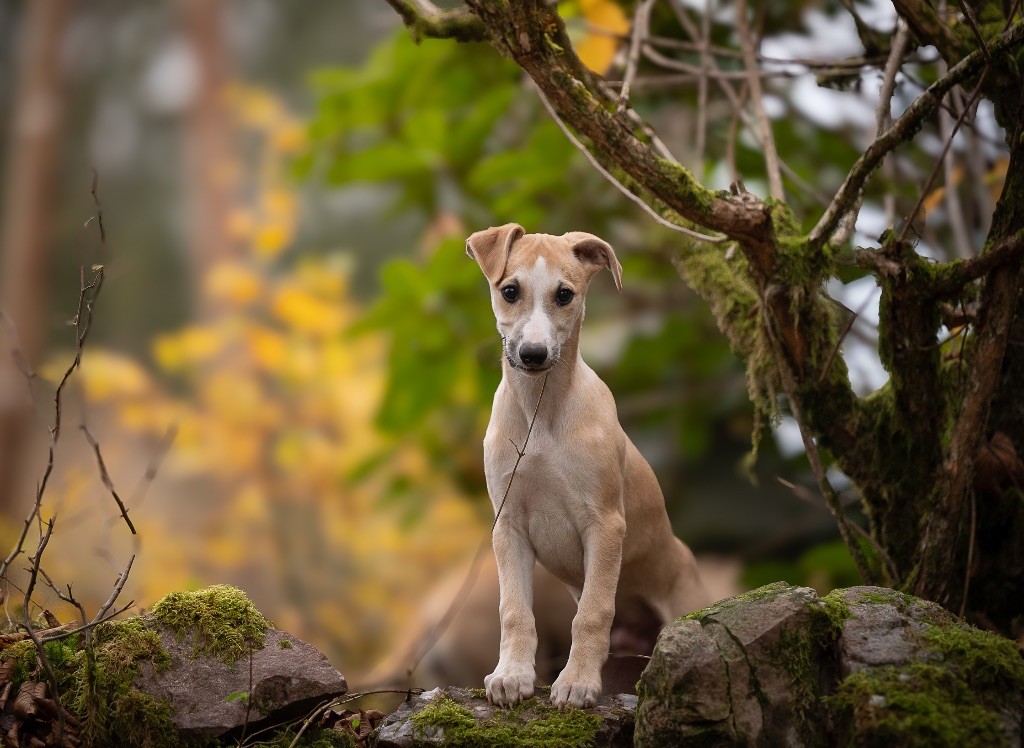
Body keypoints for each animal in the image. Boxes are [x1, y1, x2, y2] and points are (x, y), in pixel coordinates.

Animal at [466, 221, 712, 704]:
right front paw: (511, 675)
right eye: (509, 291)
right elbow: (515, 610)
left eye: (565, 295)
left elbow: (593, 612)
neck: (541, 415)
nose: (534, 355)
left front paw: (576, 681)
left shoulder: (604, 523)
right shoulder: (508, 527)